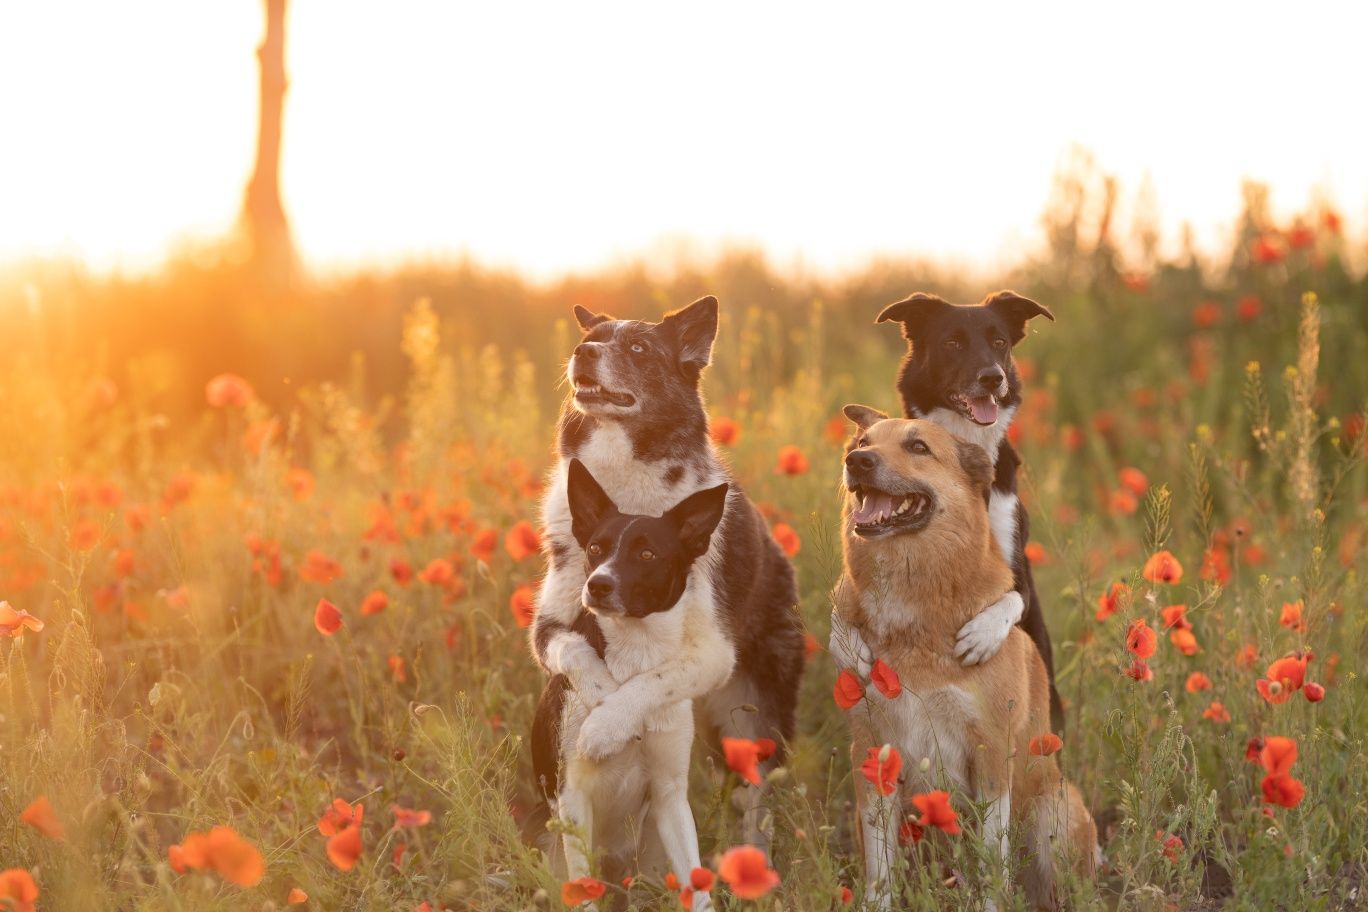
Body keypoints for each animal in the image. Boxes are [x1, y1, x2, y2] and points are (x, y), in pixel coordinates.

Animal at [528, 296, 804, 847]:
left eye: (638, 347)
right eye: (593, 338)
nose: (583, 352)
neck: (624, 482)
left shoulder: (713, 652)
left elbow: (657, 678)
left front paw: (605, 727)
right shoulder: (547, 627)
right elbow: (576, 651)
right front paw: (598, 695)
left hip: (754, 715)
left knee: (757, 797)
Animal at [530, 464, 733, 907]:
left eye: (647, 554)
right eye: (595, 548)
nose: (598, 585)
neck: (633, 651)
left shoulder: (670, 795)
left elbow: (698, 888)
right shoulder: (573, 795)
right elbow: (582, 891)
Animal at [826, 410, 1094, 907]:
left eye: (918, 447)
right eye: (865, 442)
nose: (858, 462)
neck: (913, 612)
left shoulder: (990, 752)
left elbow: (991, 861)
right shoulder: (872, 753)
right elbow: (879, 868)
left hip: (1053, 812)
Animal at [875, 288, 1067, 732]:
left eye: (999, 342)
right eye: (952, 343)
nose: (992, 377)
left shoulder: (1017, 566)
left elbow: (1012, 596)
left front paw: (981, 635)